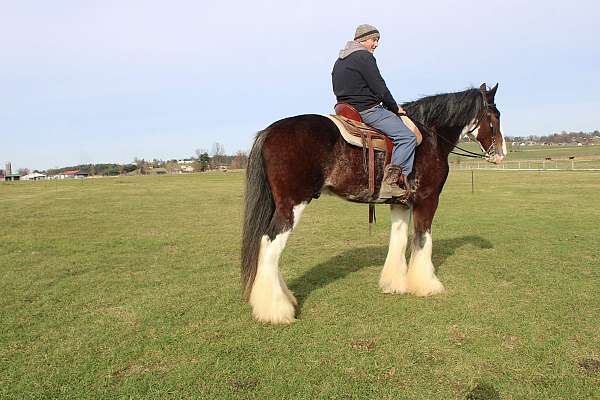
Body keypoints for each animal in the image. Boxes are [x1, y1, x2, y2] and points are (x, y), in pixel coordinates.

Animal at [239, 83, 506, 324]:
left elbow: (399, 239)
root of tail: (269, 131)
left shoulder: (400, 204)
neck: (431, 137)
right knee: (270, 243)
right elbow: (422, 240)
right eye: (495, 116)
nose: (501, 154)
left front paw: (394, 283)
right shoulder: (428, 200)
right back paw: (275, 310)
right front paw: (426, 285)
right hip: (292, 206)